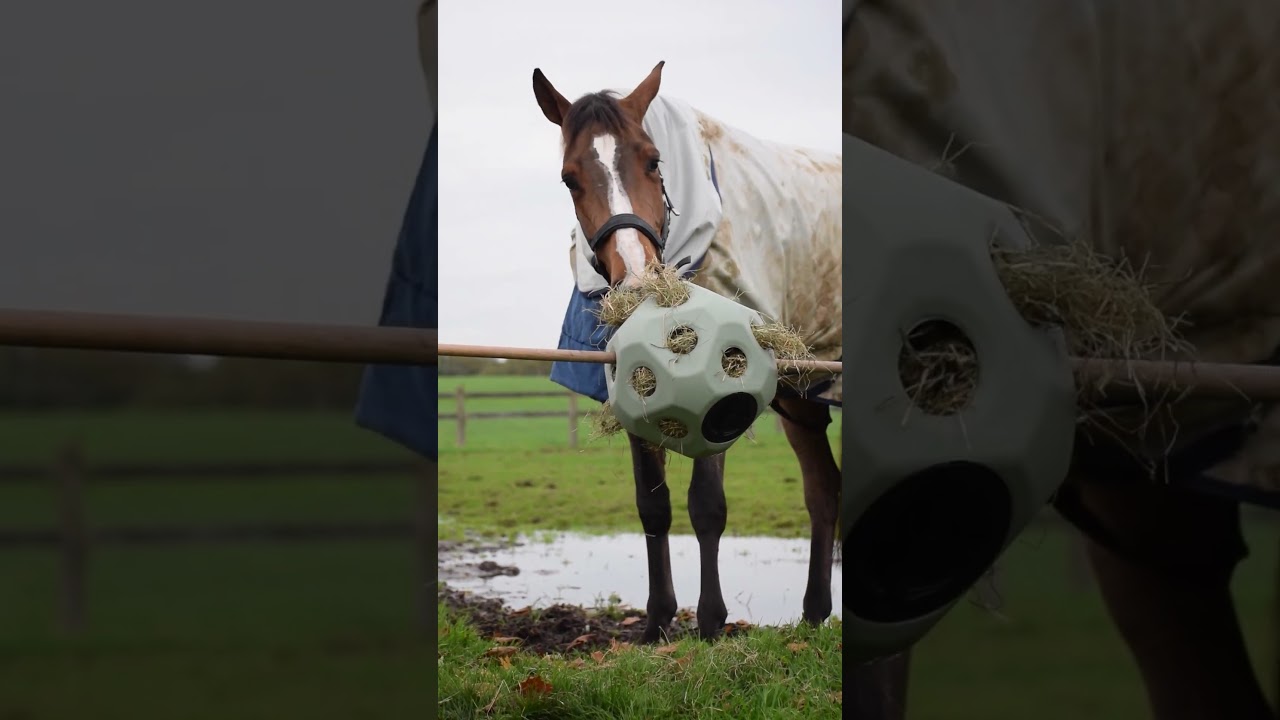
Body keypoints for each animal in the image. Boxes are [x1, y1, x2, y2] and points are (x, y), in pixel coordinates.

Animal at [532, 61, 843, 643]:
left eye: (653, 162)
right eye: (569, 178)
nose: (637, 279)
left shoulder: (724, 396)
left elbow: (707, 506)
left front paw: (712, 621)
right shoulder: (635, 396)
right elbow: (653, 506)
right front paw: (657, 622)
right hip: (802, 399)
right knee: (823, 488)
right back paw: (814, 615)